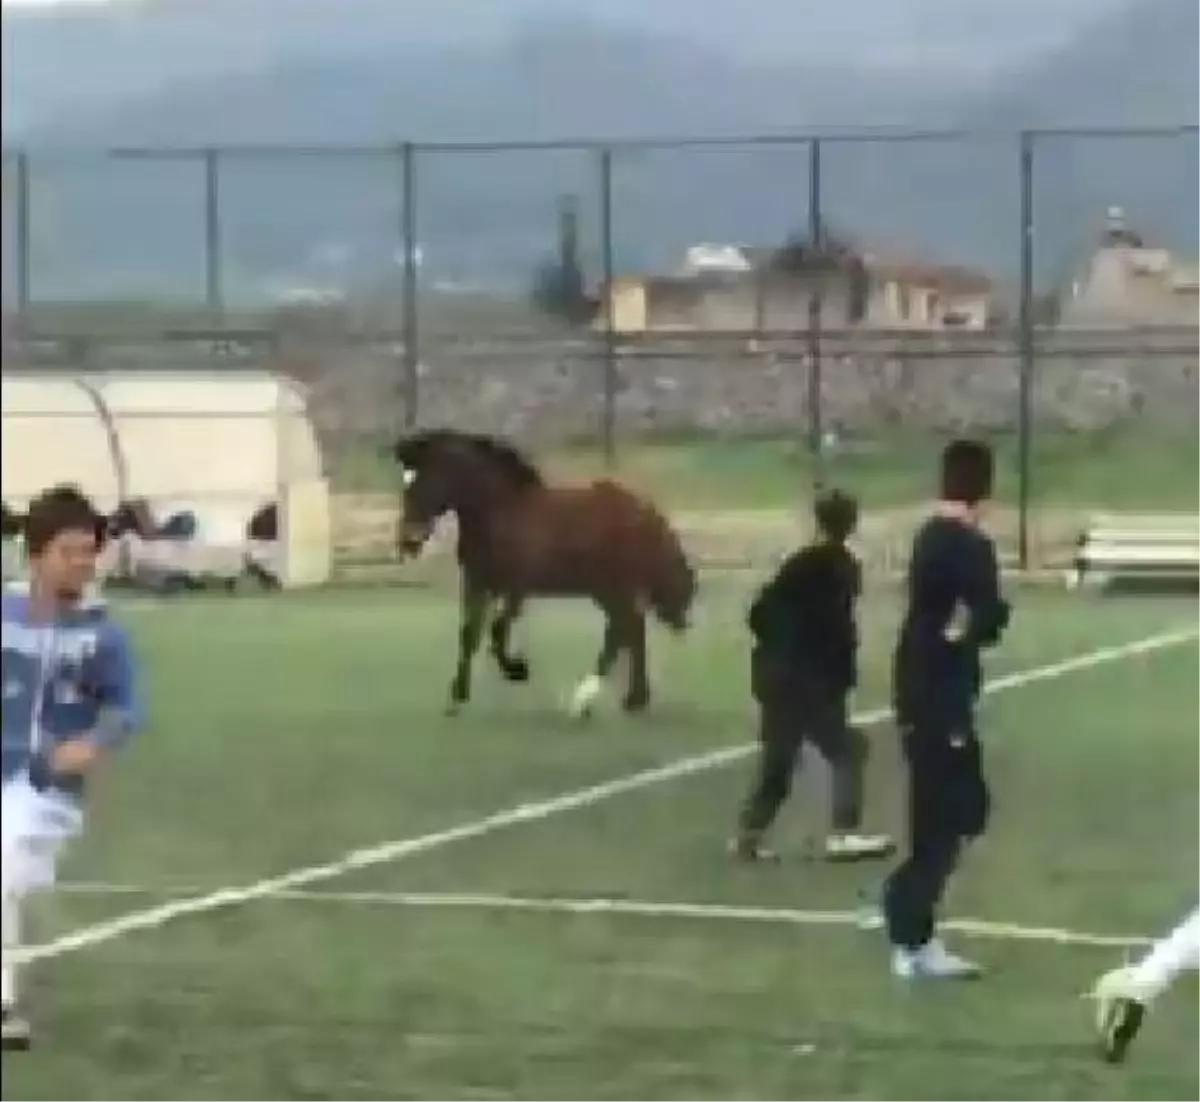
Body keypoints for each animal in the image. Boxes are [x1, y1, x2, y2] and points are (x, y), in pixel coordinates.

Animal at [388, 427, 700, 720]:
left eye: (423, 480)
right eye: (405, 482)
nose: (408, 541)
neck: (501, 512)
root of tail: (648, 512)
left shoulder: (516, 588)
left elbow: (497, 631)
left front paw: (518, 670)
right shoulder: (477, 583)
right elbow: (469, 634)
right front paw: (457, 698)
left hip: (614, 585)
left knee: (624, 630)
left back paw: (584, 702)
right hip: (603, 589)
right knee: (631, 630)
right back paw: (631, 700)